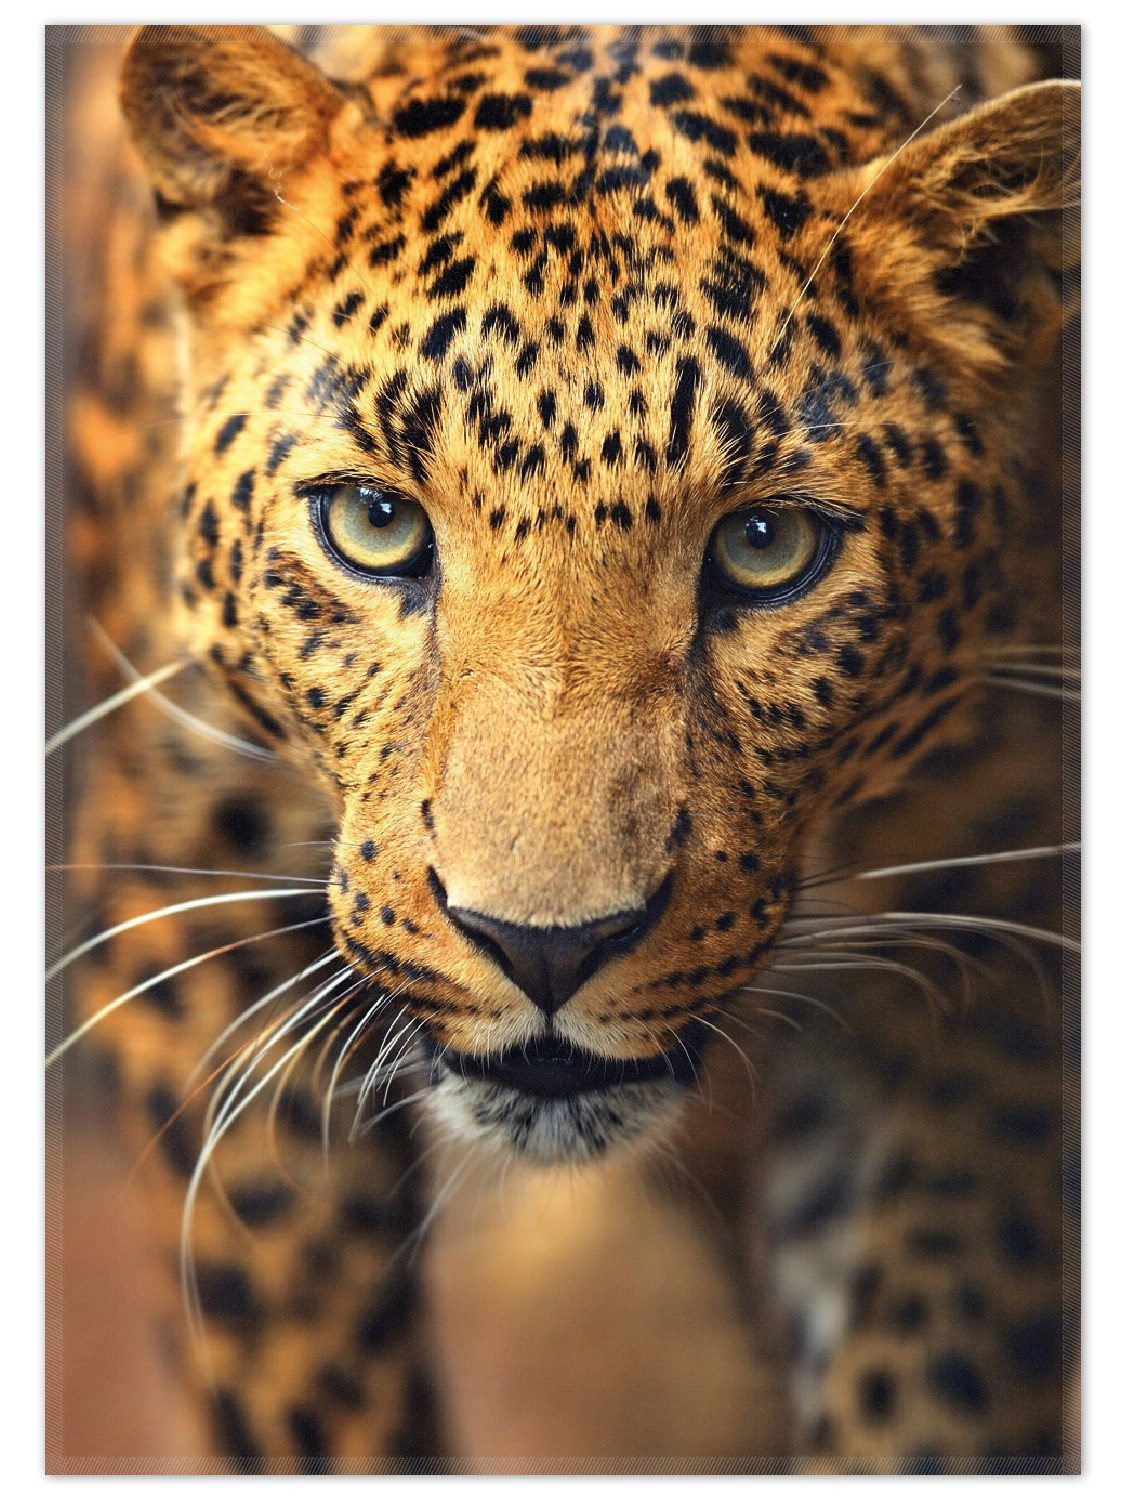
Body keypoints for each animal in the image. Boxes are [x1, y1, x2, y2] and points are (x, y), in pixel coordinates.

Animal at [46, 22, 1080, 1474]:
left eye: (768, 546)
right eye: (373, 523)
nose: (545, 949)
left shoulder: (993, 915)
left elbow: (930, 1376)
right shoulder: (190, 894)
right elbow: (310, 1387)